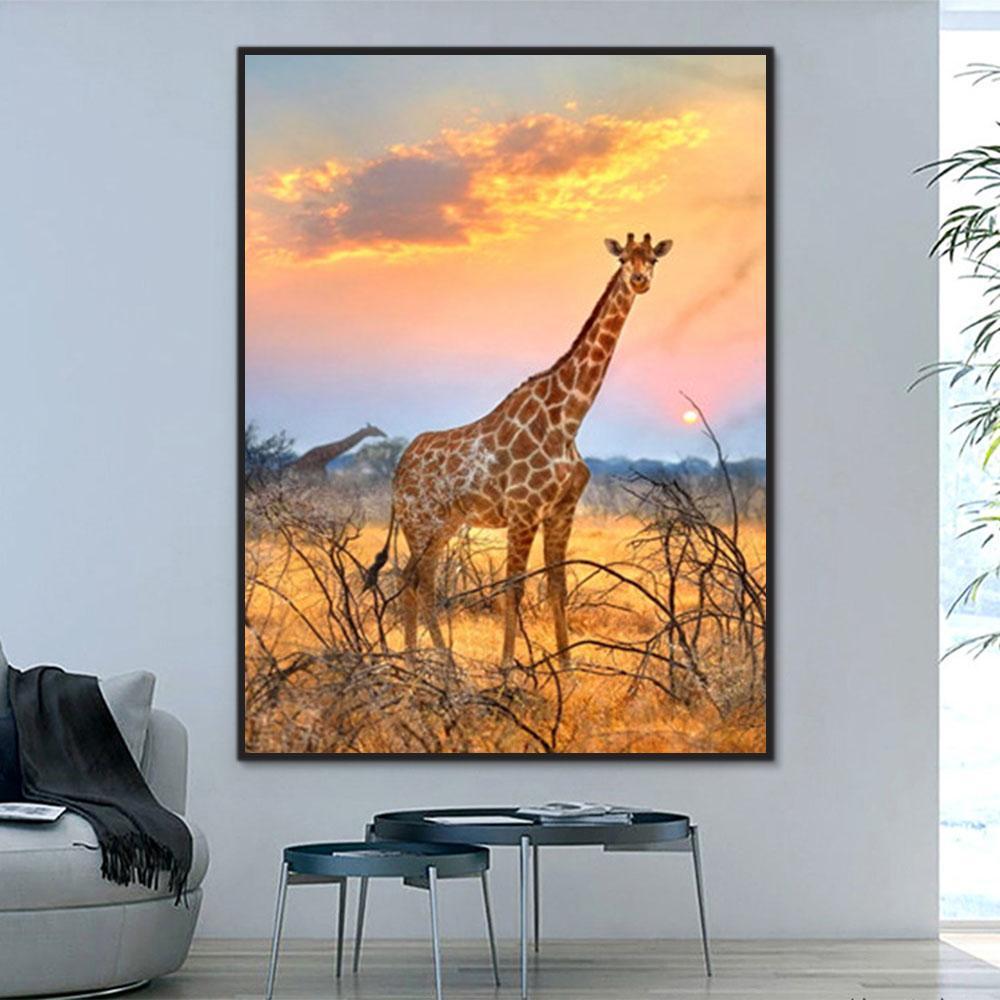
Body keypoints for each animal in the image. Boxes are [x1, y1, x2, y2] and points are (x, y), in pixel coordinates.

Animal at [366, 233, 673, 666]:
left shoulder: (561, 510)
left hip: (443, 523)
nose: (640, 280)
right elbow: (514, 586)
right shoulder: (523, 511)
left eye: (653, 260)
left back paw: (420, 660)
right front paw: (508, 667)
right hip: (420, 520)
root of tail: (397, 470)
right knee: (418, 577)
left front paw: (566, 667)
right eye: (624, 259)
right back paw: (439, 663)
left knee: (415, 576)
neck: (568, 418)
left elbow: (556, 585)